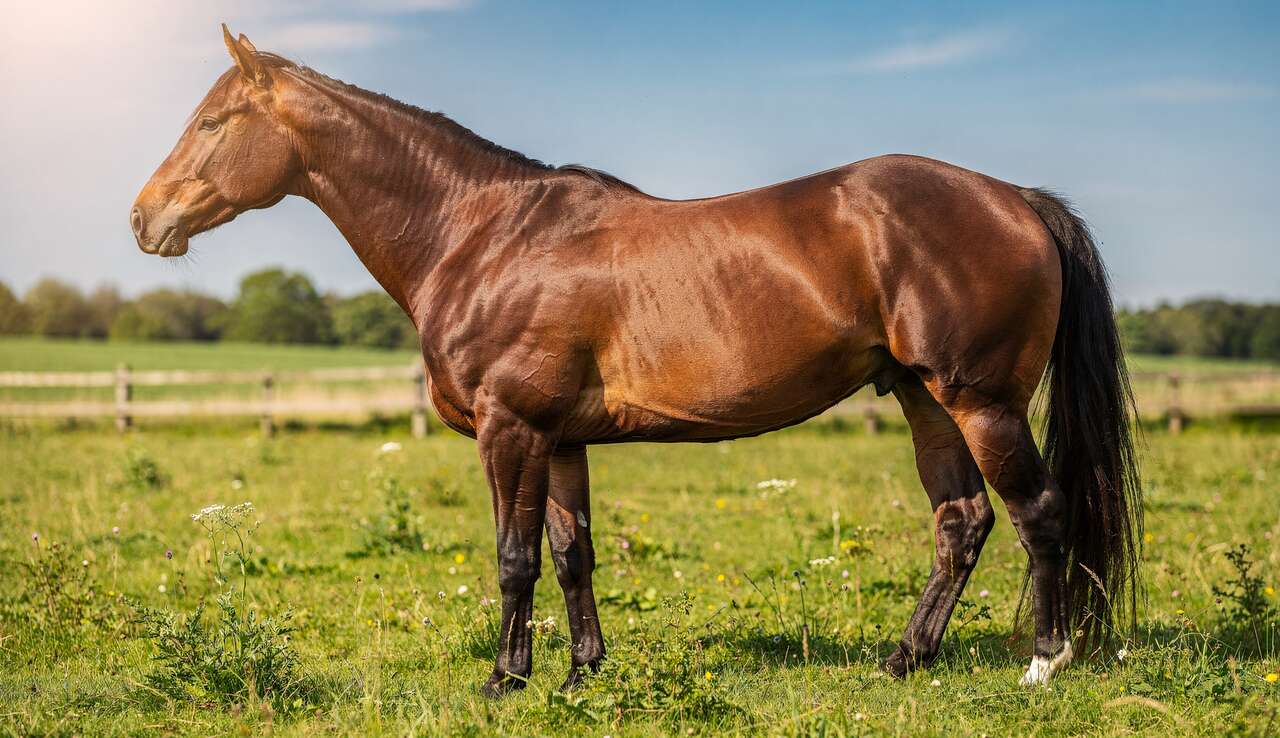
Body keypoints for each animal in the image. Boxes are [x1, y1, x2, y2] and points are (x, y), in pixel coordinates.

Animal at [131, 26, 1141, 695]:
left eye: (213, 122)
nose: (145, 218)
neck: (483, 235)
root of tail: (1015, 198)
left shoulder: (509, 429)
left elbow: (513, 559)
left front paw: (504, 681)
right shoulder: (561, 439)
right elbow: (571, 555)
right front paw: (582, 673)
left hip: (982, 401)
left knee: (1039, 514)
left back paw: (1044, 662)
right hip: (924, 400)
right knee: (962, 523)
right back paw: (906, 658)